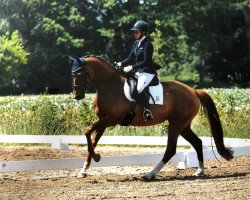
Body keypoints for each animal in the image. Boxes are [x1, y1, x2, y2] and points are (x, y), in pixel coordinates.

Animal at [69, 55, 232, 181]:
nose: (76, 96)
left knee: (171, 149)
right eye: (72, 74)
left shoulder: (110, 120)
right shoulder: (103, 122)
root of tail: (193, 90)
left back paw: (150, 174)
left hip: (176, 124)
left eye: (79, 74)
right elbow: (92, 141)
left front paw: (97, 157)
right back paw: (199, 171)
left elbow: (87, 130)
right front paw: (83, 170)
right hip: (184, 126)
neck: (109, 86)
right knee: (197, 143)